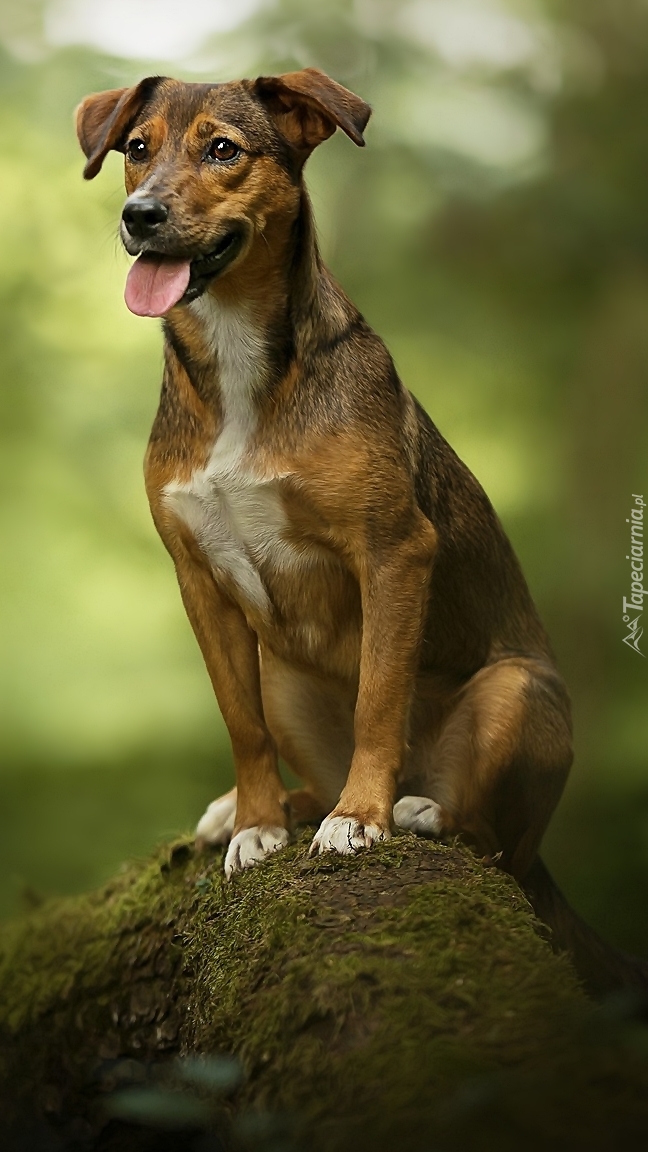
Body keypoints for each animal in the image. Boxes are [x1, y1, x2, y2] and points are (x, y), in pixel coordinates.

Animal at [76, 69, 645, 990]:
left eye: (222, 149)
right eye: (135, 148)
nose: (140, 216)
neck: (239, 361)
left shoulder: (395, 552)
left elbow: (381, 693)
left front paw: (361, 818)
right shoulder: (199, 581)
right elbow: (240, 724)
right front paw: (256, 825)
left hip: (519, 693)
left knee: (493, 844)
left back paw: (414, 808)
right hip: (283, 672)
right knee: (305, 757)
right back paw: (267, 807)